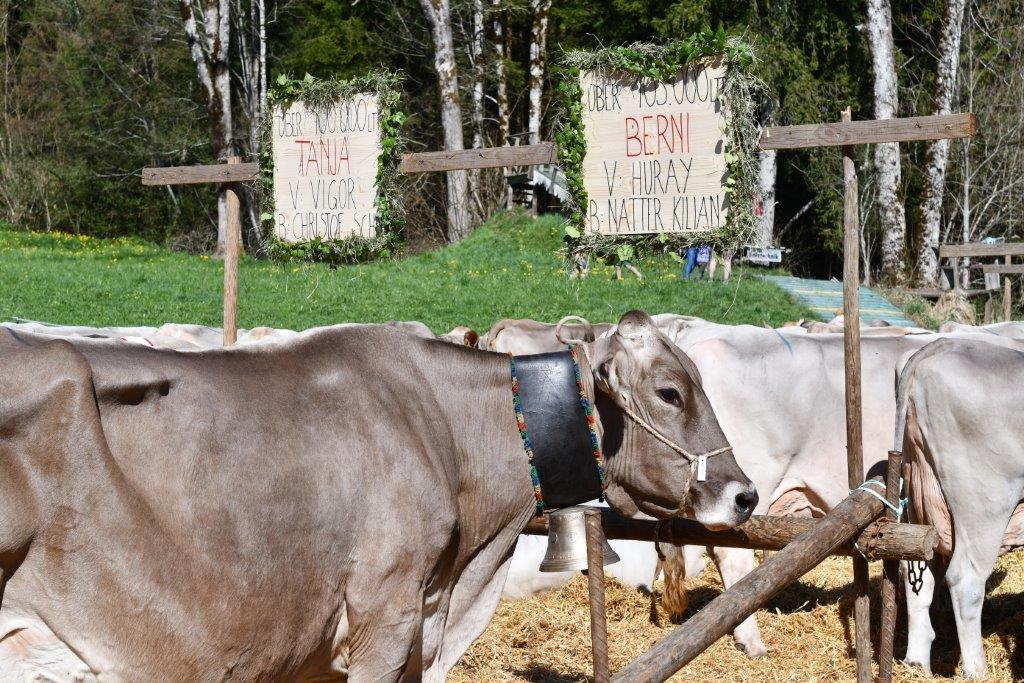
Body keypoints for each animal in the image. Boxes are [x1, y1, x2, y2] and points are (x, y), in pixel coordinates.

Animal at [895, 338, 1024, 677]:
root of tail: (942, 346)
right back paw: (977, 671)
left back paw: (917, 665)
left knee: (917, 575)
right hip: (985, 501)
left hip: (918, 491)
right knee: (966, 580)